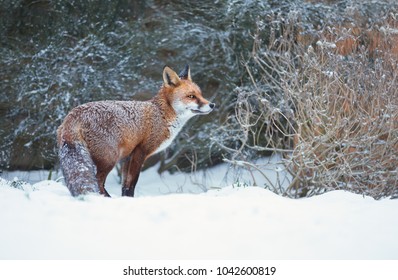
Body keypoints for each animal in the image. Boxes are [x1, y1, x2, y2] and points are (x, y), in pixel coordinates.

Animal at [56, 65, 215, 197]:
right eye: (191, 96)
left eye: (200, 94)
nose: (212, 105)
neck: (161, 115)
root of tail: (72, 115)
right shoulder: (140, 152)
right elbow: (131, 185)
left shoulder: (127, 157)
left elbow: (124, 187)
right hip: (109, 159)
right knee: (98, 182)